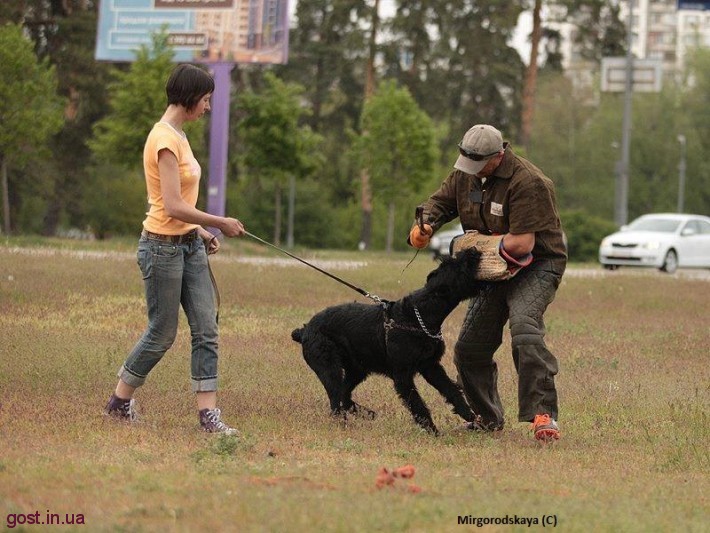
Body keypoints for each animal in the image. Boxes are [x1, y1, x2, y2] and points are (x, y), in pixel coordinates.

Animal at [291, 248, 486, 435]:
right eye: (456, 265)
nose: (473, 250)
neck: (420, 315)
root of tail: (304, 330)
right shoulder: (402, 376)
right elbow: (417, 404)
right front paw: (433, 431)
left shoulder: (430, 366)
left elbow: (451, 389)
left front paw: (468, 414)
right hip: (330, 369)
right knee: (336, 400)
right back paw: (345, 425)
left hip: (357, 369)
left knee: (344, 396)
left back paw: (367, 413)